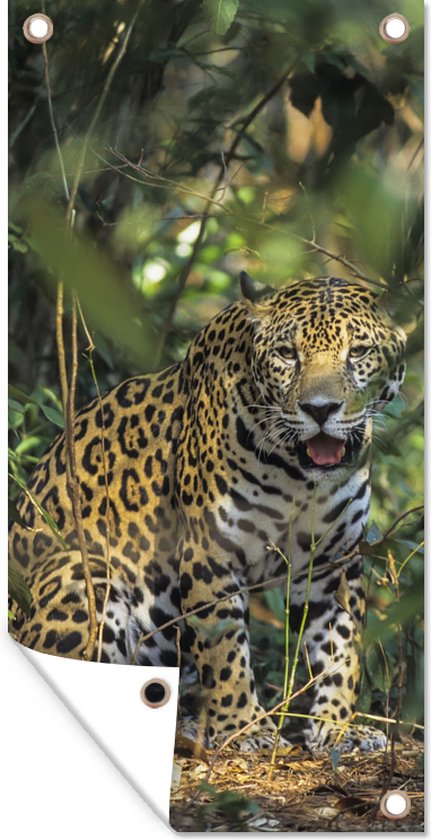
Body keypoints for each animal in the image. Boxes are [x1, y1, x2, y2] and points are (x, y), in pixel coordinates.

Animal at [9, 274, 406, 753]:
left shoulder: (335, 563)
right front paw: (244, 726)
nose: (320, 409)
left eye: (359, 352)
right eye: (287, 353)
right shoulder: (210, 552)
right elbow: (224, 648)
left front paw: (339, 726)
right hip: (83, 574)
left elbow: (343, 650)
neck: (299, 477)